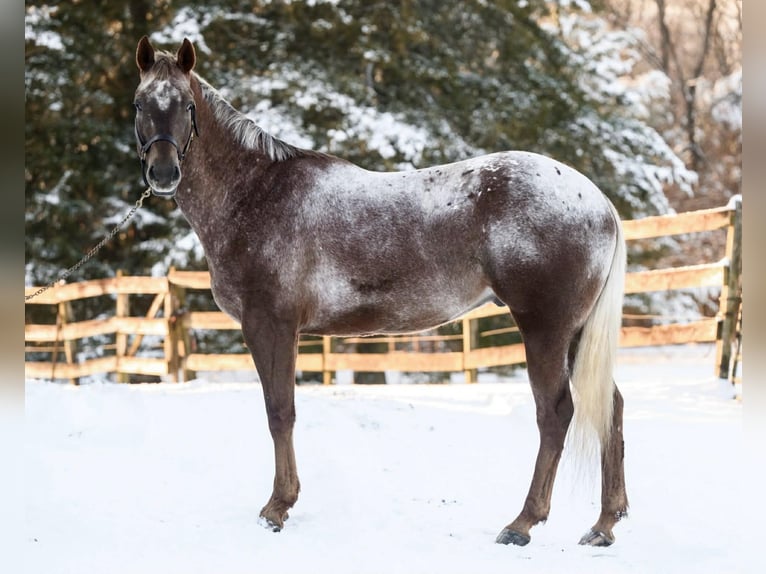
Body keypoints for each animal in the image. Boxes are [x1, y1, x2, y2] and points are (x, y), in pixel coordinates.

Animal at [132, 36, 628, 547]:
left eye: (188, 106)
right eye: (140, 104)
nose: (164, 174)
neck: (257, 194)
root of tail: (598, 202)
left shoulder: (270, 325)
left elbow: (280, 412)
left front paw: (277, 507)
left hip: (545, 329)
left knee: (556, 414)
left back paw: (522, 523)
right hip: (575, 334)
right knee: (610, 408)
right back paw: (603, 526)